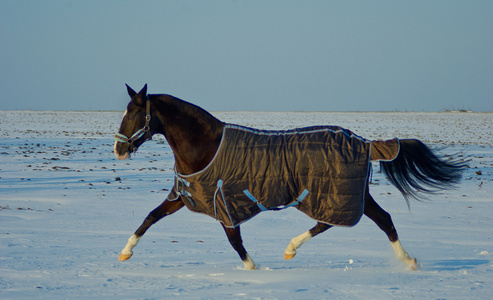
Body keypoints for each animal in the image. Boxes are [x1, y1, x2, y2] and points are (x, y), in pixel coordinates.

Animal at [113, 83, 464, 270]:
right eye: (125, 112)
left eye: (135, 115)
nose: (118, 149)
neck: (207, 147)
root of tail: (364, 142)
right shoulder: (186, 195)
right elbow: (150, 217)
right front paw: (125, 252)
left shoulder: (224, 201)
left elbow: (234, 240)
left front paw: (253, 268)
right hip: (344, 193)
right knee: (369, 219)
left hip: (336, 193)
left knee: (359, 221)